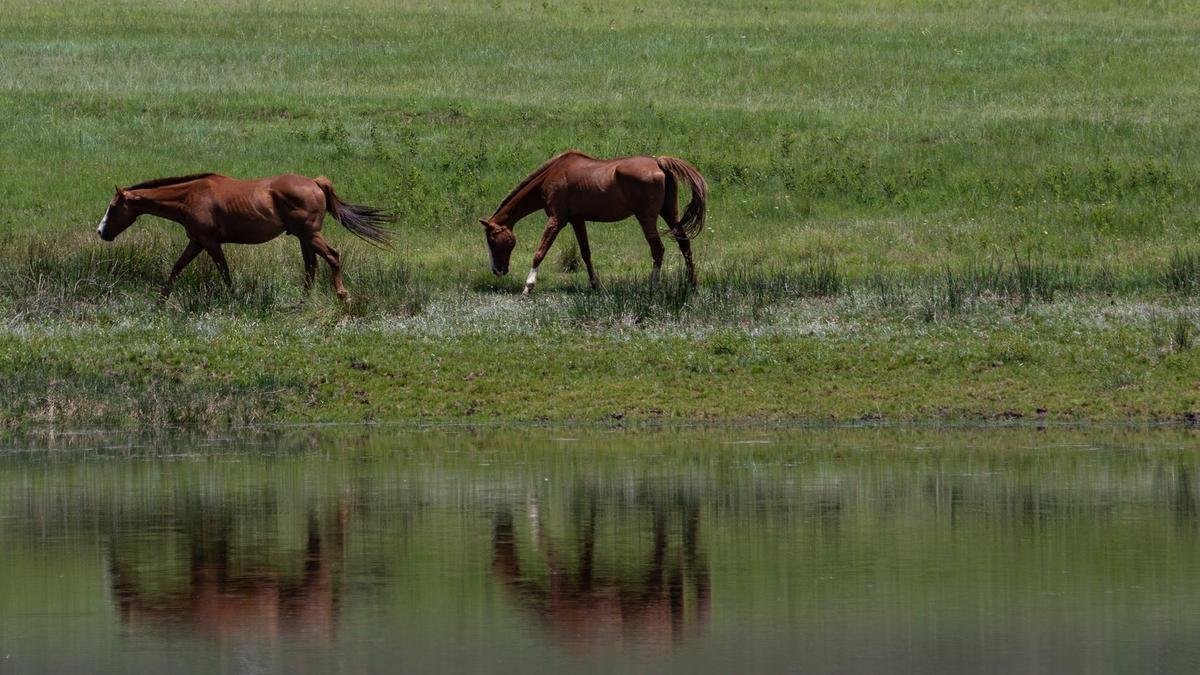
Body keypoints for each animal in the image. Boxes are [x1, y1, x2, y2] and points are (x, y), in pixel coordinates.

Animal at [97, 171, 393, 300]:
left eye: (112, 207)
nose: (101, 232)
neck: (190, 197)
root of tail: (316, 183)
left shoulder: (209, 242)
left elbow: (224, 272)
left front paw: (235, 298)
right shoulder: (196, 242)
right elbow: (175, 269)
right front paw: (161, 301)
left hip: (310, 234)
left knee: (332, 256)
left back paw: (342, 294)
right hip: (304, 238)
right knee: (311, 266)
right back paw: (304, 299)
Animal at [475, 149, 705, 291]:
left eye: (492, 240)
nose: (498, 270)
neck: (552, 174)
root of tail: (658, 162)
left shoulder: (556, 220)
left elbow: (540, 252)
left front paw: (529, 285)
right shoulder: (577, 220)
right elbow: (586, 253)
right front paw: (594, 284)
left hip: (646, 218)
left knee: (658, 249)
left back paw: (653, 286)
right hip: (670, 213)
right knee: (684, 244)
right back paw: (692, 284)